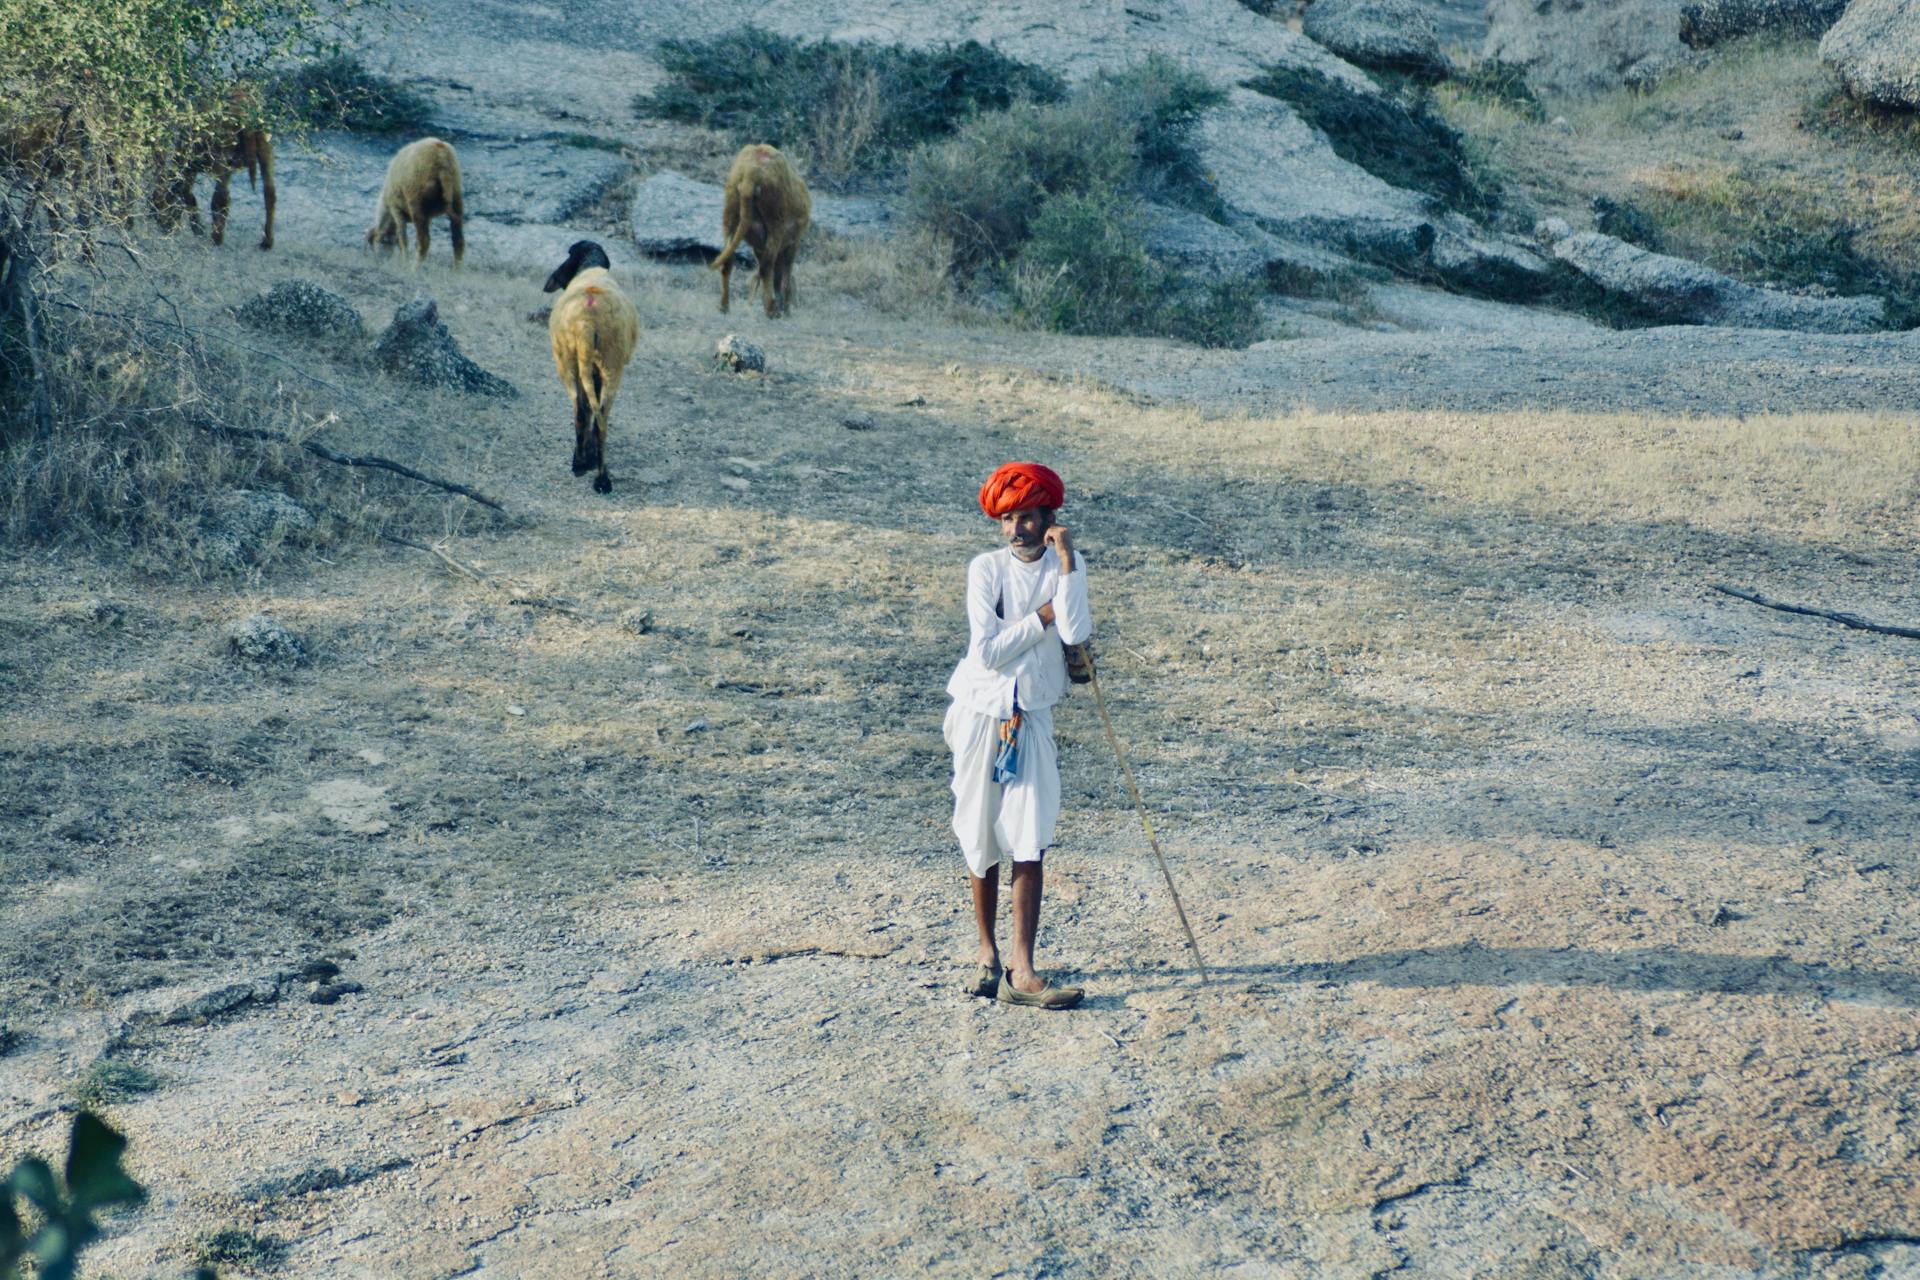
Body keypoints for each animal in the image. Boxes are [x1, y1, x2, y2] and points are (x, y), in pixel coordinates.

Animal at [370, 138, 468, 268]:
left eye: (381, 241)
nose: (380, 261)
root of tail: (440, 153)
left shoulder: (396, 209)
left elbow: (402, 239)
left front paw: (404, 261)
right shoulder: (428, 217)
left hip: (417, 203)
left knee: (424, 242)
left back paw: (414, 269)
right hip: (456, 197)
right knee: (458, 242)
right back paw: (457, 270)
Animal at [545, 239, 641, 495]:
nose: (551, 281)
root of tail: (586, 322)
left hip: (569, 361)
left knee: (581, 410)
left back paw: (581, 466)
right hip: (610, 365)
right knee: (600, 419)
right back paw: (600, 477)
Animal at [718, 141, 814, 318]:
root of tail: (750, 174)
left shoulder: (758, 246)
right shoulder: (793, 243)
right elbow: (784, 276)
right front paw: (785, 309)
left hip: (731, 218)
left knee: (727, 261)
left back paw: (724, 307)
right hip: (776, 224)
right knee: (767, 267)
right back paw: (772, 310)